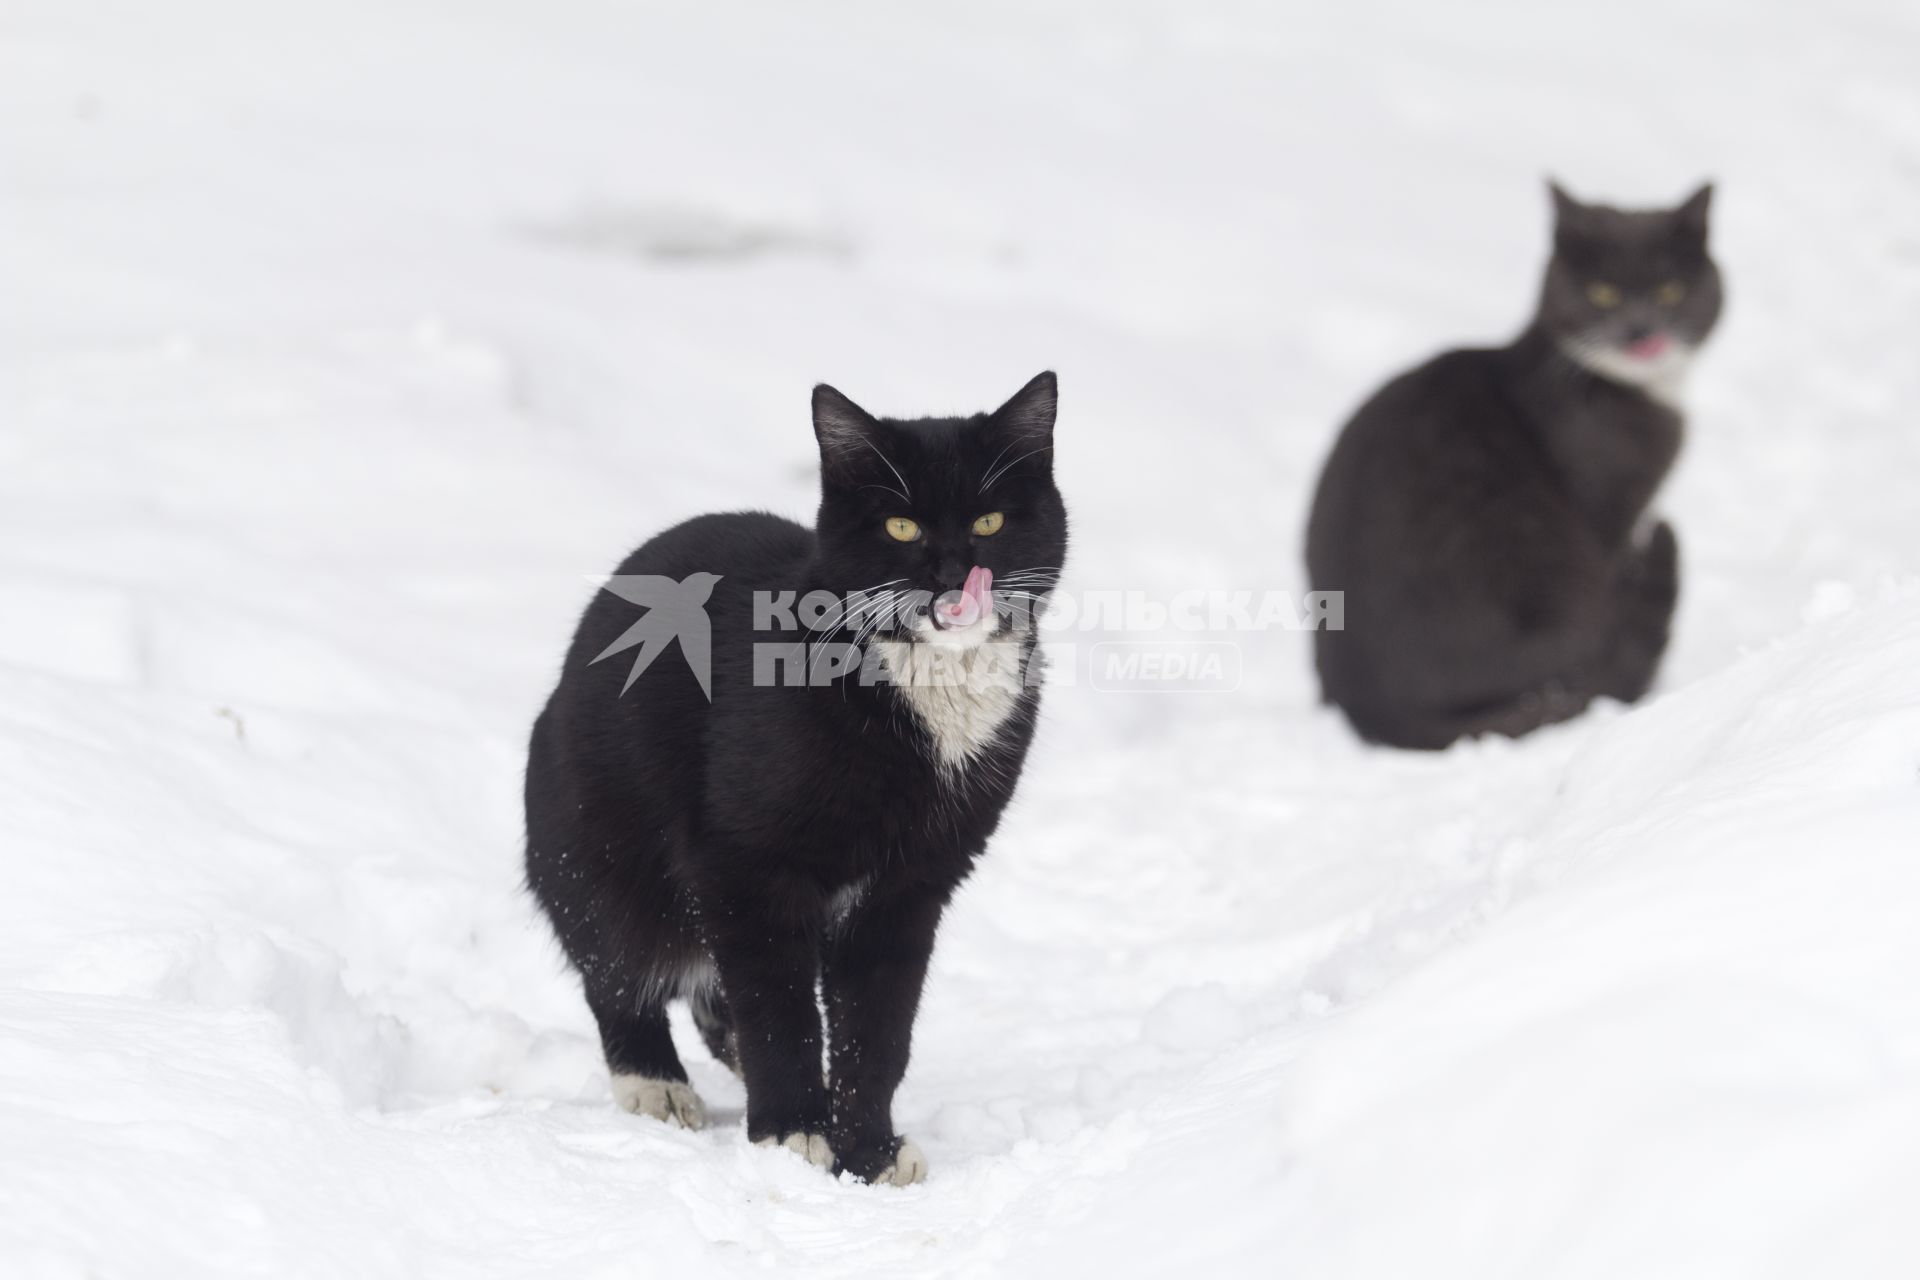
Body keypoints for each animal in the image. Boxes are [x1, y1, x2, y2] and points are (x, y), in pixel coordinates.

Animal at [526, 368, 1067, 1182]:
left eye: (992, 519)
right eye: (900, 527)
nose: (952, 574)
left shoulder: (911, 886)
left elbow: (877, 1027)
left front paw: (868, 1148)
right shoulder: (745, 864)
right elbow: (779, 1006)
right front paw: (792, 1134)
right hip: (598, 844)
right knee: (617, 964)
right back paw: (655, 1083)